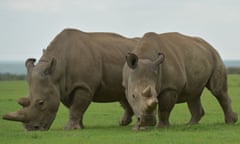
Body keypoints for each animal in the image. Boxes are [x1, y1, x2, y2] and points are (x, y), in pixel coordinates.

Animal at [2, 28, 139, 130]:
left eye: (41, 103)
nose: (31, 129)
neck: (56, 70)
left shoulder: (83, 85)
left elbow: (77, 107)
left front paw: (70, 128)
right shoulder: (63, 88)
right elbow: (75, 107)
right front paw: (80, 127)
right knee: (124, 93)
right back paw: (123, 123)